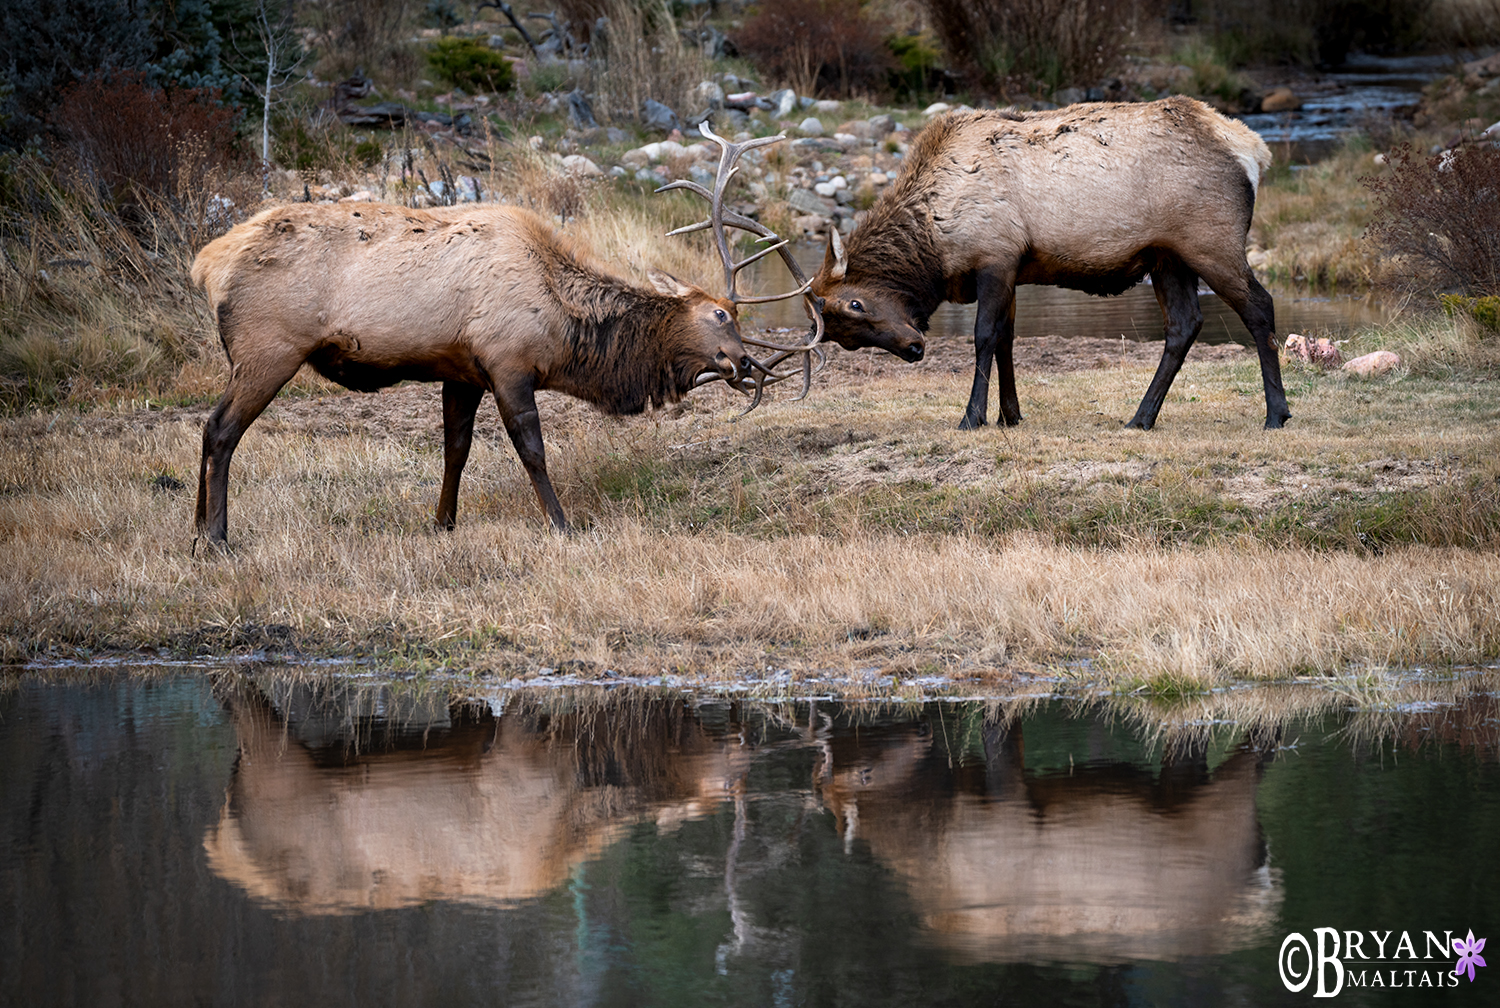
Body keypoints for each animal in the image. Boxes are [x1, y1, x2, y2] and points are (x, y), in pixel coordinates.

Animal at [187, 199, 750, 540]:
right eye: (720, 314)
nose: (744, 361)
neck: (562, 327)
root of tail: (206, 264)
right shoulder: (507, 362)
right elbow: (531, 449)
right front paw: (562, 524)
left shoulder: (461, 371)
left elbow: (455, 449)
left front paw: (442, 523)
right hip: (269, 349)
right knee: (222, 428)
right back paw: (217, 536)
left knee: (209, 427)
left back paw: (195, 530)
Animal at [810, 96, 1290, 435]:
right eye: (846, 339)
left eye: (855, 304)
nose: (913, 348)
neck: (935, 241)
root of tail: (1254, 150)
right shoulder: (1013, 270)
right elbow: (1006, 338)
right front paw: (1009, 415)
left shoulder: (996, 256)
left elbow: (984, 337)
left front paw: (972, 417)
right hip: (1167, 256)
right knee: (1184, 324)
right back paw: (1141, 417)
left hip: (1211, 241)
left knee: (1259, 306)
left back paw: (1276, 414)